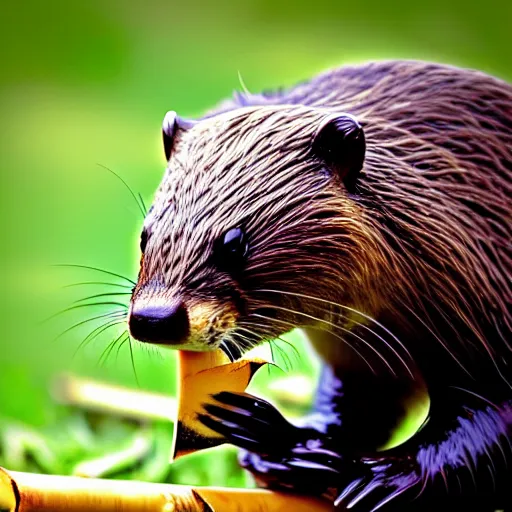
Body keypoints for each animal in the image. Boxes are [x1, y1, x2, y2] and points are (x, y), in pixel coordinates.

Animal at [127, 62, 512, 510]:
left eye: (234, 242)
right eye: (145, 235)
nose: (155, 318)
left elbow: (486, 427)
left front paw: (372, 480)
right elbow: (361, 404)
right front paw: (278, 445)